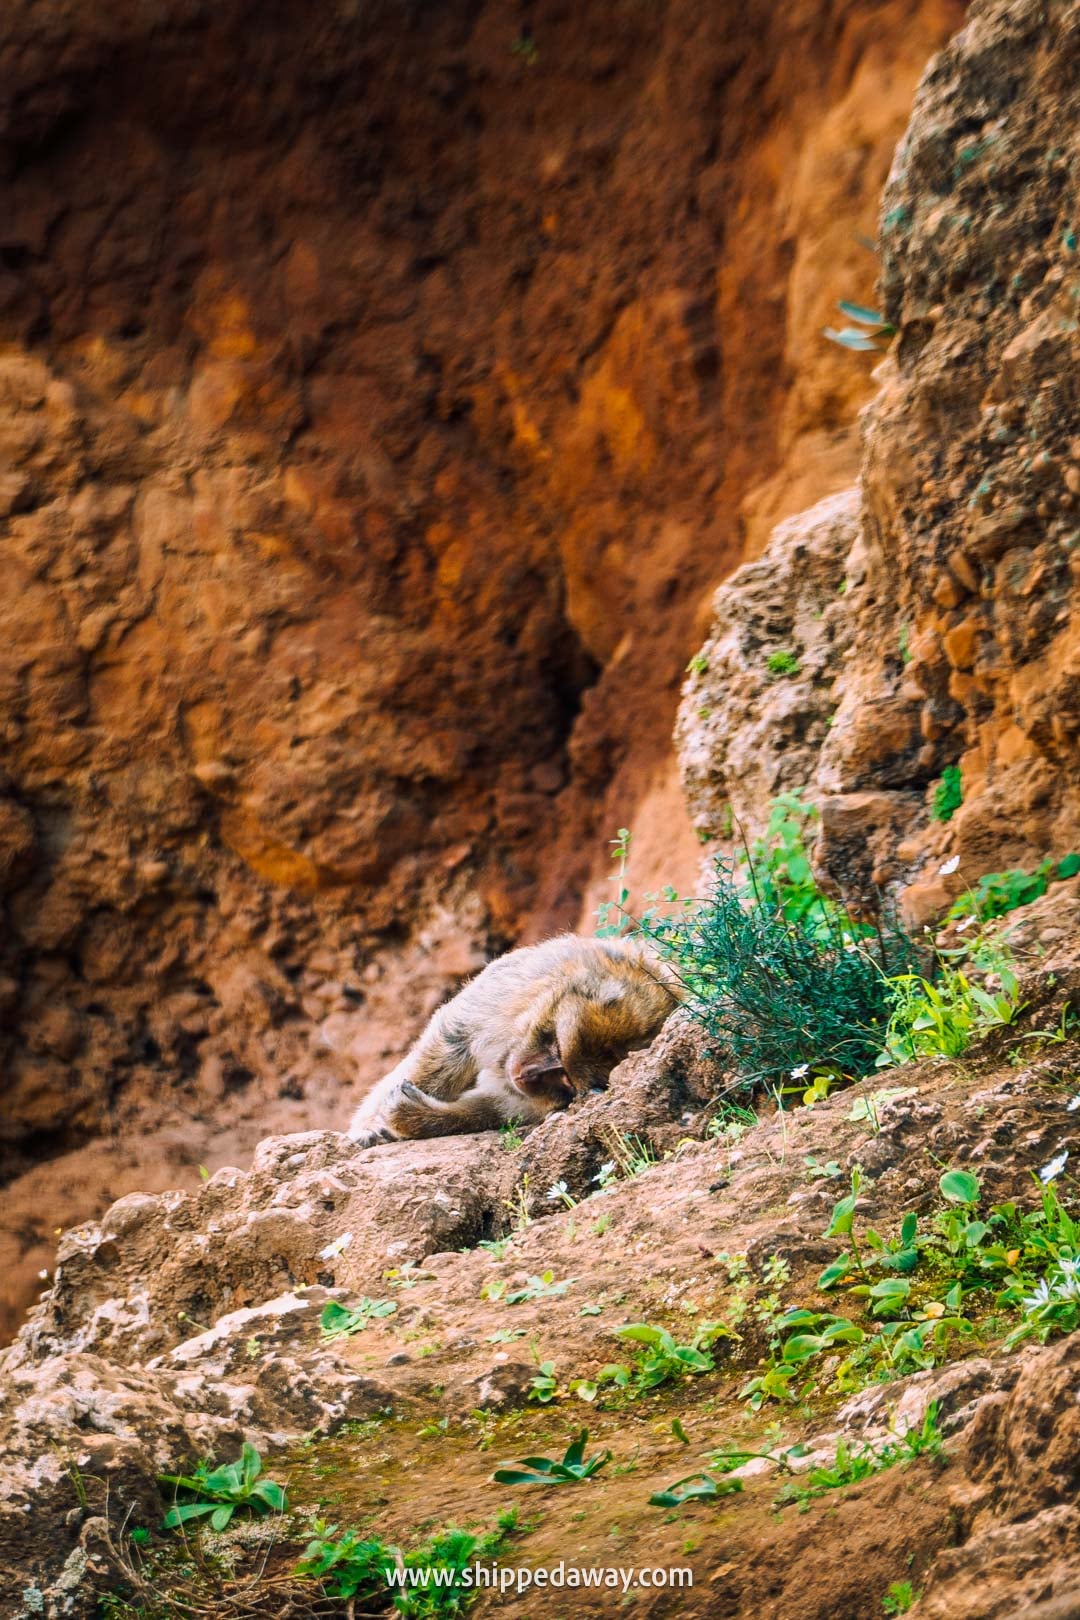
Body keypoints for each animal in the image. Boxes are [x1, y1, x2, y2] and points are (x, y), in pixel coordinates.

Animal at [347, 934, 678, 1147]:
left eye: (566, 1080)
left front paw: (413, 1117)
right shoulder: (508, 992)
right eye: (555, 1045)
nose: (525, 1074)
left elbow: (496, 1107)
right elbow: (452, 1040)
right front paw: (372, 1127)